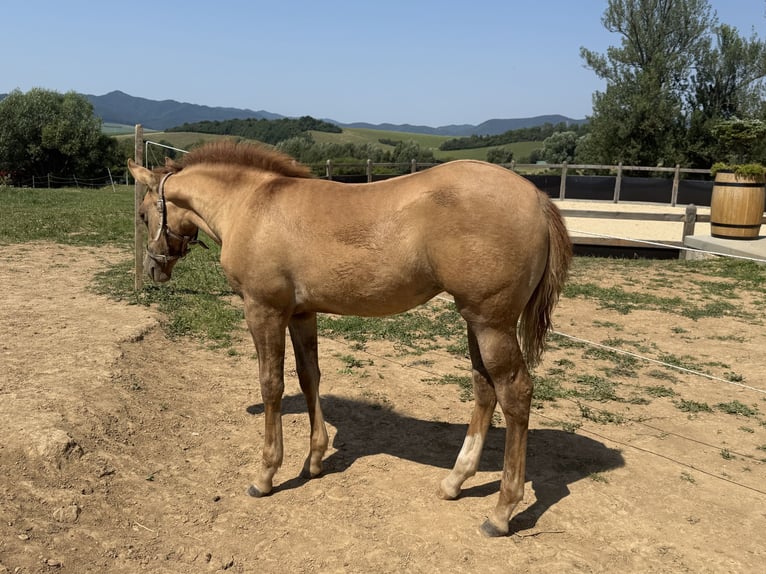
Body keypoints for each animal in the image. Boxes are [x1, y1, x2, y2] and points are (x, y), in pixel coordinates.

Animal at [127, 141, 572, 537]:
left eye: (144, 214)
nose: (153, 269)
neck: (252, 205)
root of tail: (537, 197)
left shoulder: (263, 311)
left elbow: (272, 384)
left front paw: (266, 473)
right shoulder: (301, 313)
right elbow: (310, 377)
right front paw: (315, 460)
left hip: (492, 323)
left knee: (515, 393)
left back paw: (501, 512)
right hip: (475, 321)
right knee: (484, 388)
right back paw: (454, 481)